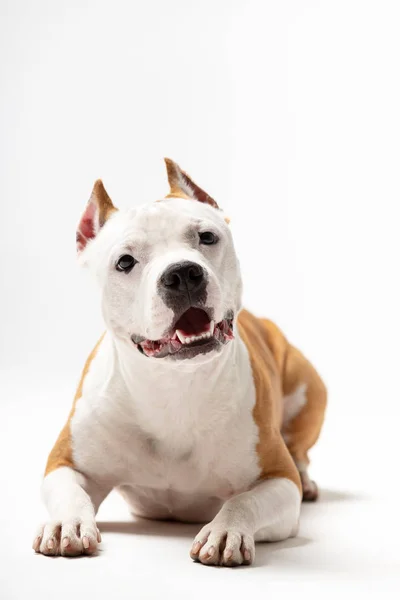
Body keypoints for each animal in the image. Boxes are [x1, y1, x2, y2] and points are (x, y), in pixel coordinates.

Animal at [32, 159, 326, 568]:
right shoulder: (66, 463)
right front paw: (67, 524)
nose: (183, 273)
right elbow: (69, 492)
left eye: (206, 237)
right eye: (125, 262)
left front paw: (225, 531)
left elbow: (243, 501)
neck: (173, 386)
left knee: (300, 452)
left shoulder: (278, 479)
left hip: (308, 390)